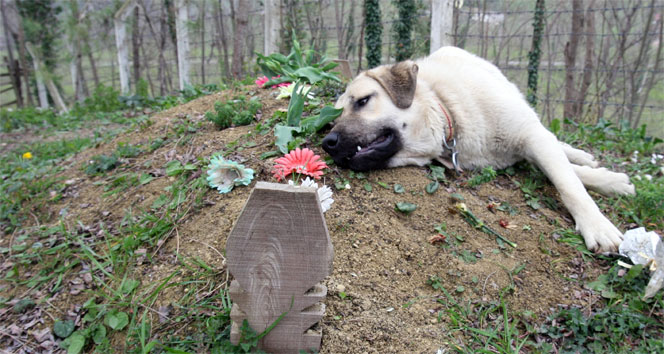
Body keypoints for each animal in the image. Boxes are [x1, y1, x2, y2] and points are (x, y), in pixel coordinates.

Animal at [324, 47, 636, 253]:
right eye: (333, 119)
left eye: (363, 101)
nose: (328, 143)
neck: (447, 111)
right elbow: (566, 174)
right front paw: (609, 181)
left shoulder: (530, 137)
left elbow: (569, 183)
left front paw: (598, 221)